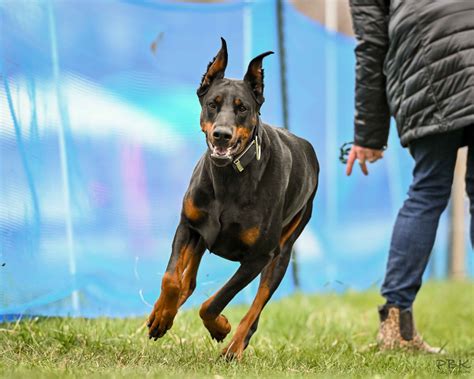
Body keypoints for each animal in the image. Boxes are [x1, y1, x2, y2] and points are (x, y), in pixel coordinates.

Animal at [148, 39, 318, 362]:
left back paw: (235, 346)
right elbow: (170, 278)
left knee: (257, 305)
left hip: (283, 250)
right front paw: (161, 317)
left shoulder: (259, 256)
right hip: (203, 237)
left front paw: (220, 327)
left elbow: (216, 302)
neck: (228, 177)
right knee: (187, 281)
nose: (222, 135)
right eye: (212, 104)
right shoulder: (188, 225)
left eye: (243, 108)